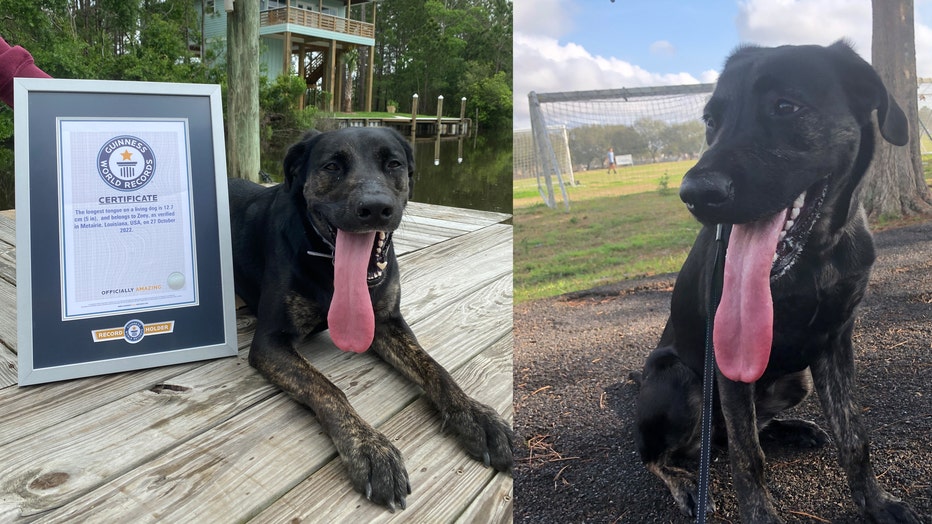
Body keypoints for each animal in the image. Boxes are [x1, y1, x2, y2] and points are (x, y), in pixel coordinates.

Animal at [228, 128, 512, 512]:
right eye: (332, 165)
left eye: (393, 163)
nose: (375, 208)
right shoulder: (271, 341)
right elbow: (326, 387)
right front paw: (369, 448)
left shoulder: (388, 323)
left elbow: (435, 367)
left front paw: (475, 415)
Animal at [628, 42, 920, 524]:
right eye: (711, 121)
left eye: (785, 107)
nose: (694, 195)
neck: (815, 257)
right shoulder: (727, 357)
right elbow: (749, 459)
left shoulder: (835, 341)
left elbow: (854, 437)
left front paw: (877, 503)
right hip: (679, 379)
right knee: (663, 454)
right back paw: (686, 482)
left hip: (796, 379)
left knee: (740, 431)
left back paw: (794, 429)